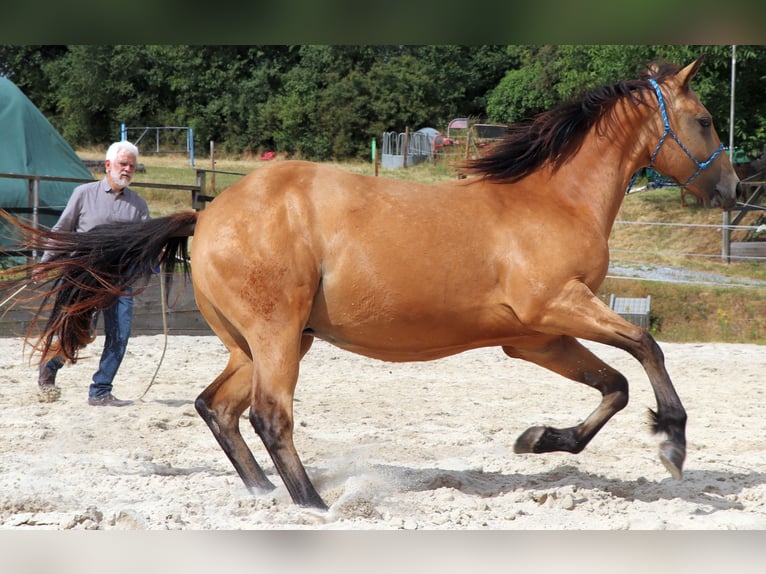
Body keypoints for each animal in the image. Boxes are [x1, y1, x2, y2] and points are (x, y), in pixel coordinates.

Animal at [0, 57, 739, 510]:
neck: (550, 201)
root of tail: (207, 213)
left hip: (263, 342)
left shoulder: (535, 337)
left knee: (218, 407)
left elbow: (613, 385)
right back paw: (313, 504)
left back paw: (267, 495)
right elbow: (646, 348)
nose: (734, 190)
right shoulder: (558, 308)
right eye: (705, 120)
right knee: (269, 415)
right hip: (277, 335)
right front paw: (673, 442)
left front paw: (538, 440)